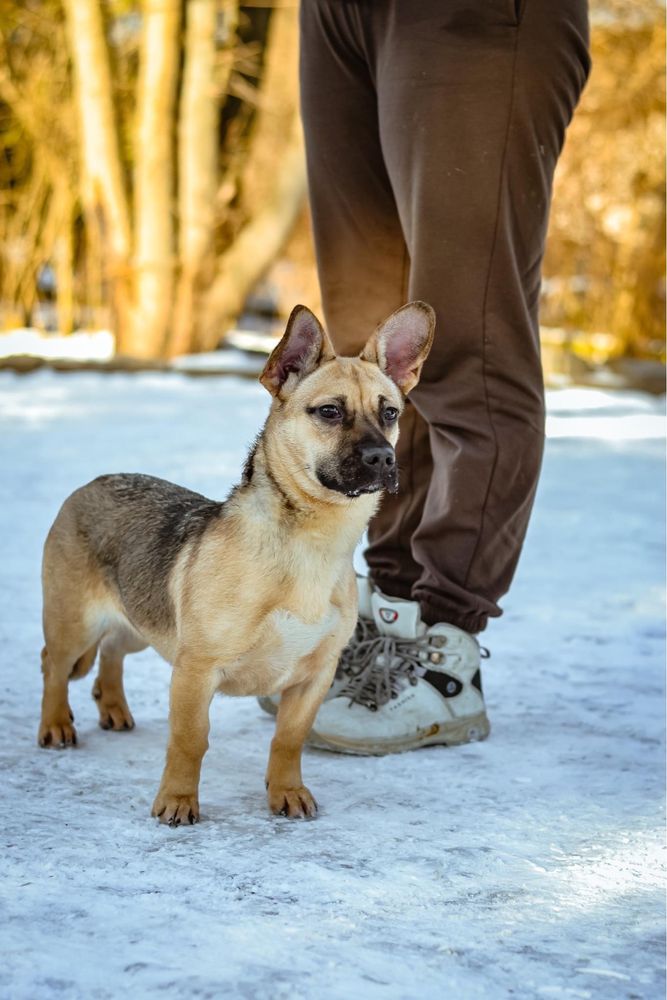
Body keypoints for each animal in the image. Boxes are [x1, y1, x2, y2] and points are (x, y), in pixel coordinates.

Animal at [36, 300, 436, 824]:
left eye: (389, 413)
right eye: (329, 412)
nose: (383, 458)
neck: (312, 541)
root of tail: (90, 484)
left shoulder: (314, 679)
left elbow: (288, 741)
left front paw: (286, 791)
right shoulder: (195, 669)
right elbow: (190, 741)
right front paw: (178, 800)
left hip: (142, 623)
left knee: (113, 651)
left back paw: (114, 706)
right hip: (74, 623)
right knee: (54, 664)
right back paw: (55, 724)